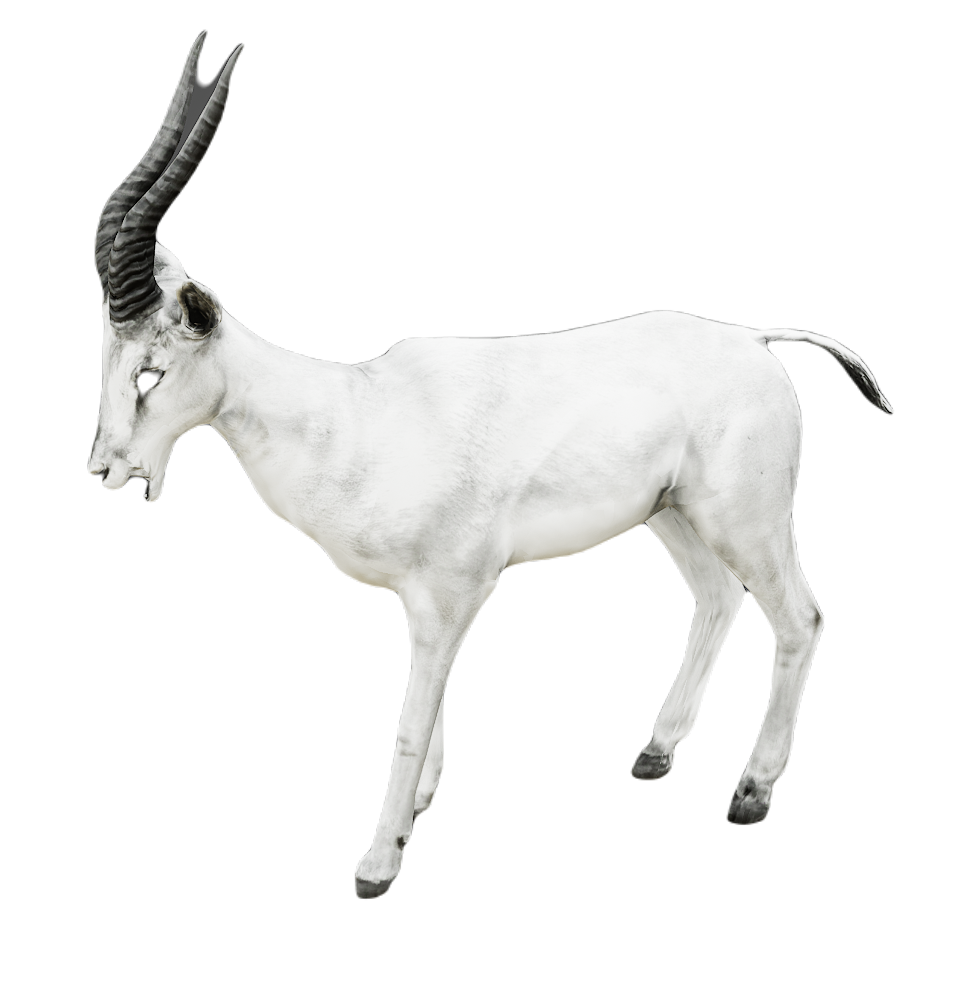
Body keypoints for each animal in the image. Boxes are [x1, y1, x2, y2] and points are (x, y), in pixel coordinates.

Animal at [90, 31, 893, 900]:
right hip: (674, 518)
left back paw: (752, 791)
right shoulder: (422, 602)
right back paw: (656, 751)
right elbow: (434, 706)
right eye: (110, 359)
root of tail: (753, 339)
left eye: (150, 373)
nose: (107, 468)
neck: (354, 418)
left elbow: (410, 721)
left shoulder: (454, 594)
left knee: (800, 618)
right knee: (718, 599)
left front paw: (378, 863)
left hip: (748, 520)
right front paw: (418, 811)